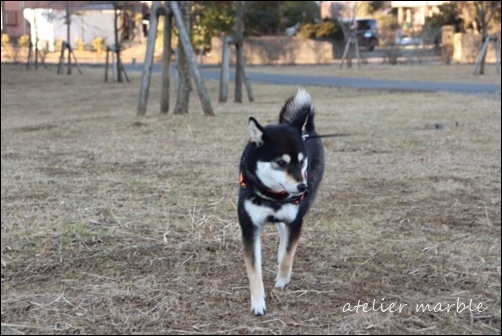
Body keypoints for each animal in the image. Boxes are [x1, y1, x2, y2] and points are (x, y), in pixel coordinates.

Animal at [236, 88, 324, 316]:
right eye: (281, 163)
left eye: (302, 161)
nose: (303, 187)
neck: (273, 195)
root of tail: (307, 128)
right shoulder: (250, 227)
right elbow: (254, 270)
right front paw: (258, 303)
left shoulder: (296, 219)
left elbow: (288, 255)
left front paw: (282, 280)